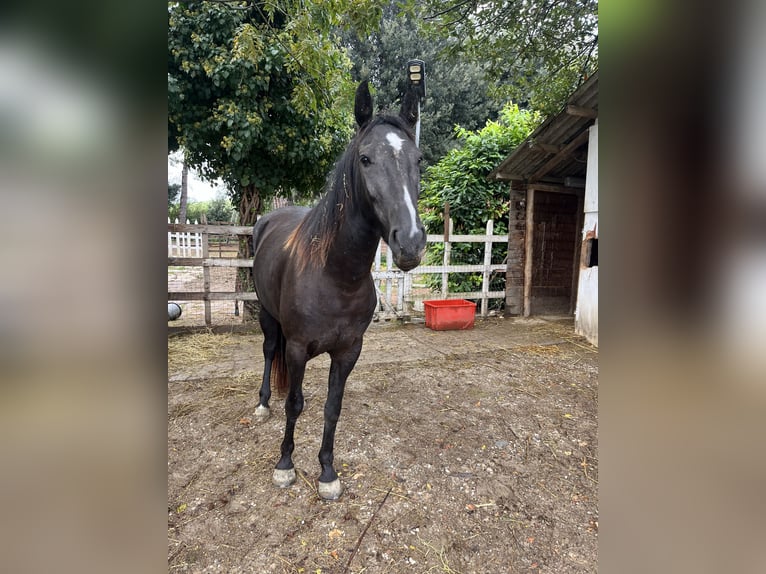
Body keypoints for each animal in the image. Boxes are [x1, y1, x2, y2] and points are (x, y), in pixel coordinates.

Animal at [250, 80, 426, 500]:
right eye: (365, 159)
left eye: (419, 160)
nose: (411, 242)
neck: (336, 276)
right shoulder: (297, 348)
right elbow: (293, 404)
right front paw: (285, 465)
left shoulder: (348, 352)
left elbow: (333, 408)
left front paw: (327, 472)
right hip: (266, 315)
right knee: (269, 352)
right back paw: (263, 403)